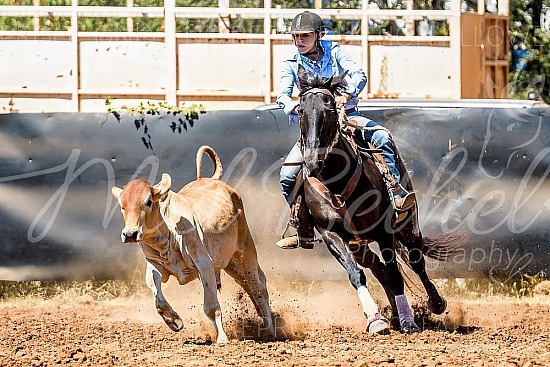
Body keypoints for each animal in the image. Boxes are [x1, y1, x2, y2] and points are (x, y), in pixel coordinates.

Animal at [296, 64, 468, 334]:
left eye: (330, 109)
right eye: (300, 111)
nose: (313, 163)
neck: (337, 182)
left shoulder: (384, 230)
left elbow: (396, 275)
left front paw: (409, 322)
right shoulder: (330, 233)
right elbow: (357, 274)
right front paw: (376, 320)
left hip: (408, 225)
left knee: (416, 261)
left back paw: (435, 303)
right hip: (358, 244)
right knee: (377, 266)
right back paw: (393, 315)